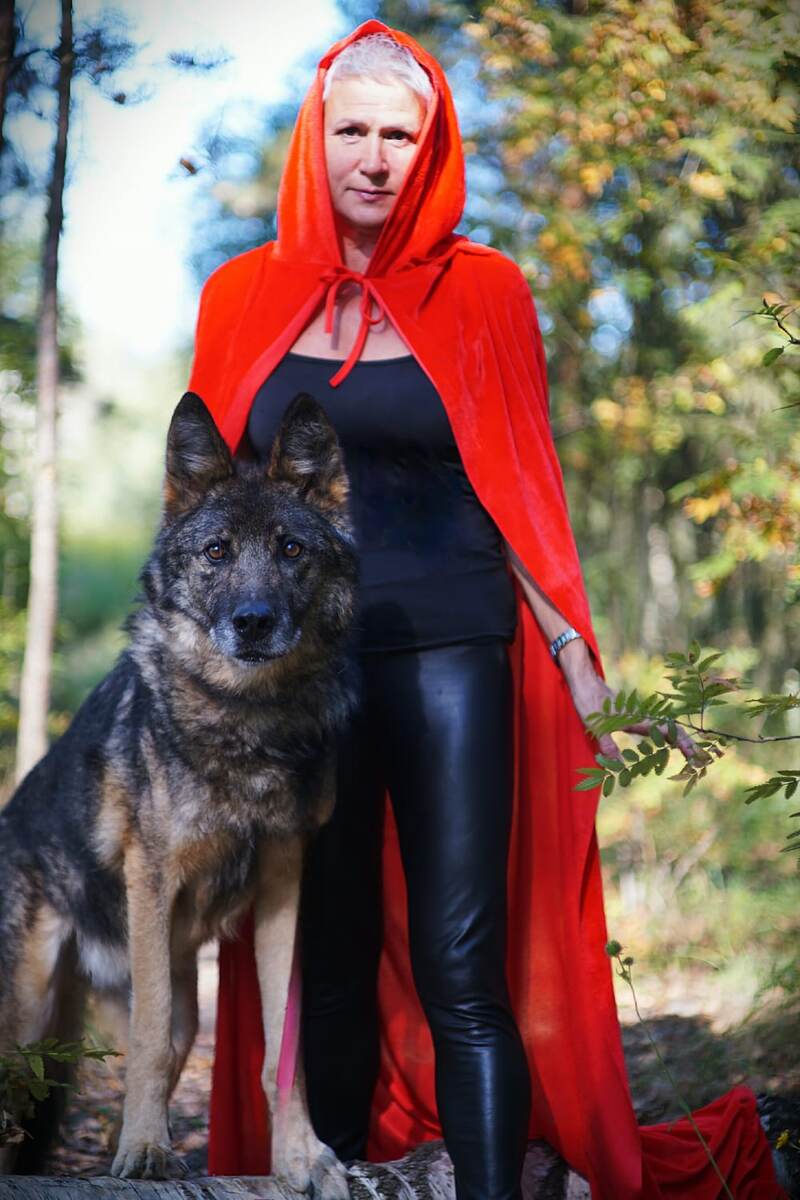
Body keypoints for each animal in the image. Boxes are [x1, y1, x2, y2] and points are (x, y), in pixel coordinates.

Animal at [0, 390, 359, 1196]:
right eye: (217, 552)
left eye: (291, 550)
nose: (253, 622)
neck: (248, 723)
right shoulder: (154, 878)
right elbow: (151, 1044)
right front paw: (145, 1152)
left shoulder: (286, 883)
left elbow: (280, 1051)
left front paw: (302, 1156)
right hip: (28, 1012)